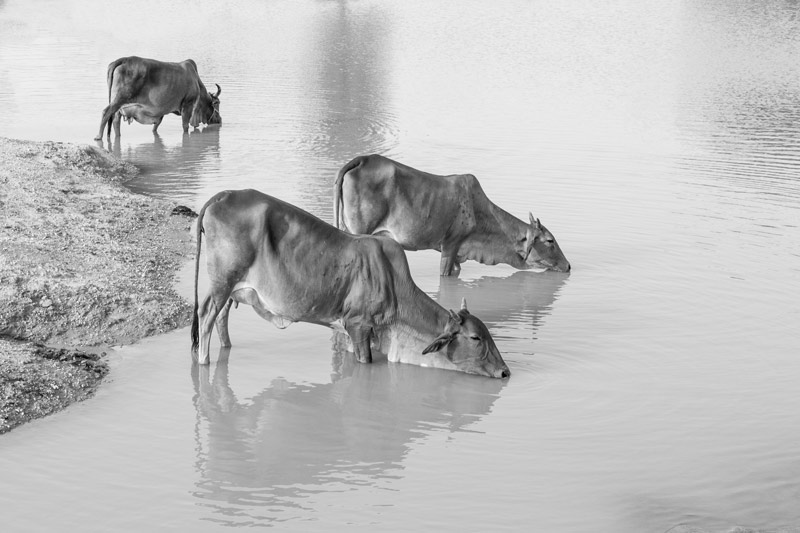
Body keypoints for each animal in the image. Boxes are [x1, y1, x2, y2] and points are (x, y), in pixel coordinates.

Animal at [191, 189, 510, 379]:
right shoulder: (359, 326)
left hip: (232, 289)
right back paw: (203, 362)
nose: (505, 372)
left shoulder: (347, 329)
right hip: (221, 283)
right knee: (206, 317)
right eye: (475, 338)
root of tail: (221, 196)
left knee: (221, 319)